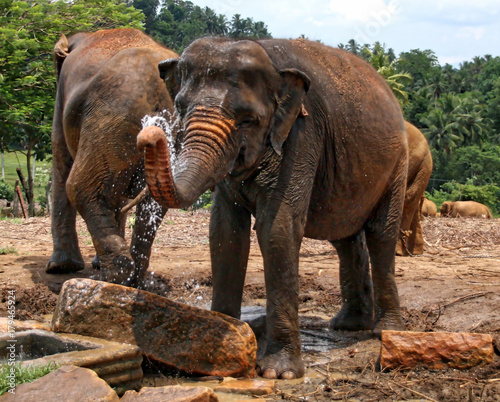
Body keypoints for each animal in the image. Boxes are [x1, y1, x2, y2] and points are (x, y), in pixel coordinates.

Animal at [48, 28, 178, 286]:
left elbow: (60, 157)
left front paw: (60, 268)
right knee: (153, 200)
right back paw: (133, 275)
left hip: (108, 118)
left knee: (80, 187)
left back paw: (117, 274)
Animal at [136, 37, 406, 380]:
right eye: (181, 109)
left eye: (248, 120)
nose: (150, 131)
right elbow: (225, 232)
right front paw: (221, 344)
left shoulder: (302, 135)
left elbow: (277, 228)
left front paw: (279, 373)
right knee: (345, 238)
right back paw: (347, 325)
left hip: (397, 164)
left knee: (381, 234)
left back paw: (385, 330)